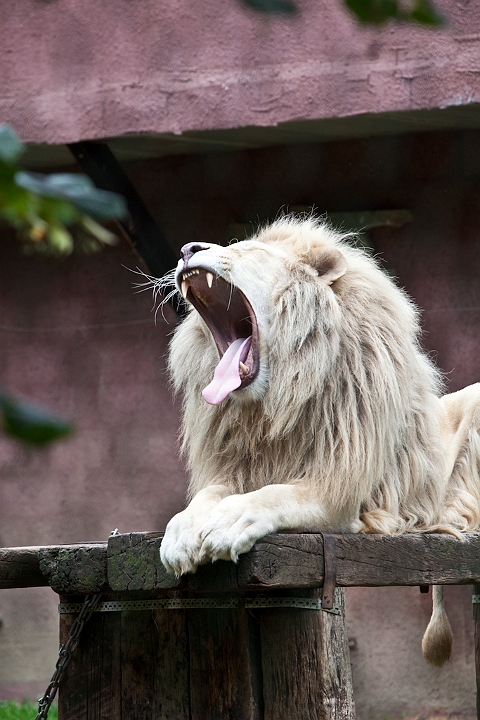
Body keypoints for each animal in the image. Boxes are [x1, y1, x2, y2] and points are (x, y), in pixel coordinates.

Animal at [157, 216, 480, 667]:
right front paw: (181, 532)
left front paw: (226, 523)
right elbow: (206, 497)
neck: (275, 406)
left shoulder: (341, 492)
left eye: (246, 249)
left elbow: (275, 495)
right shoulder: (234, 470)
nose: (188, 249)